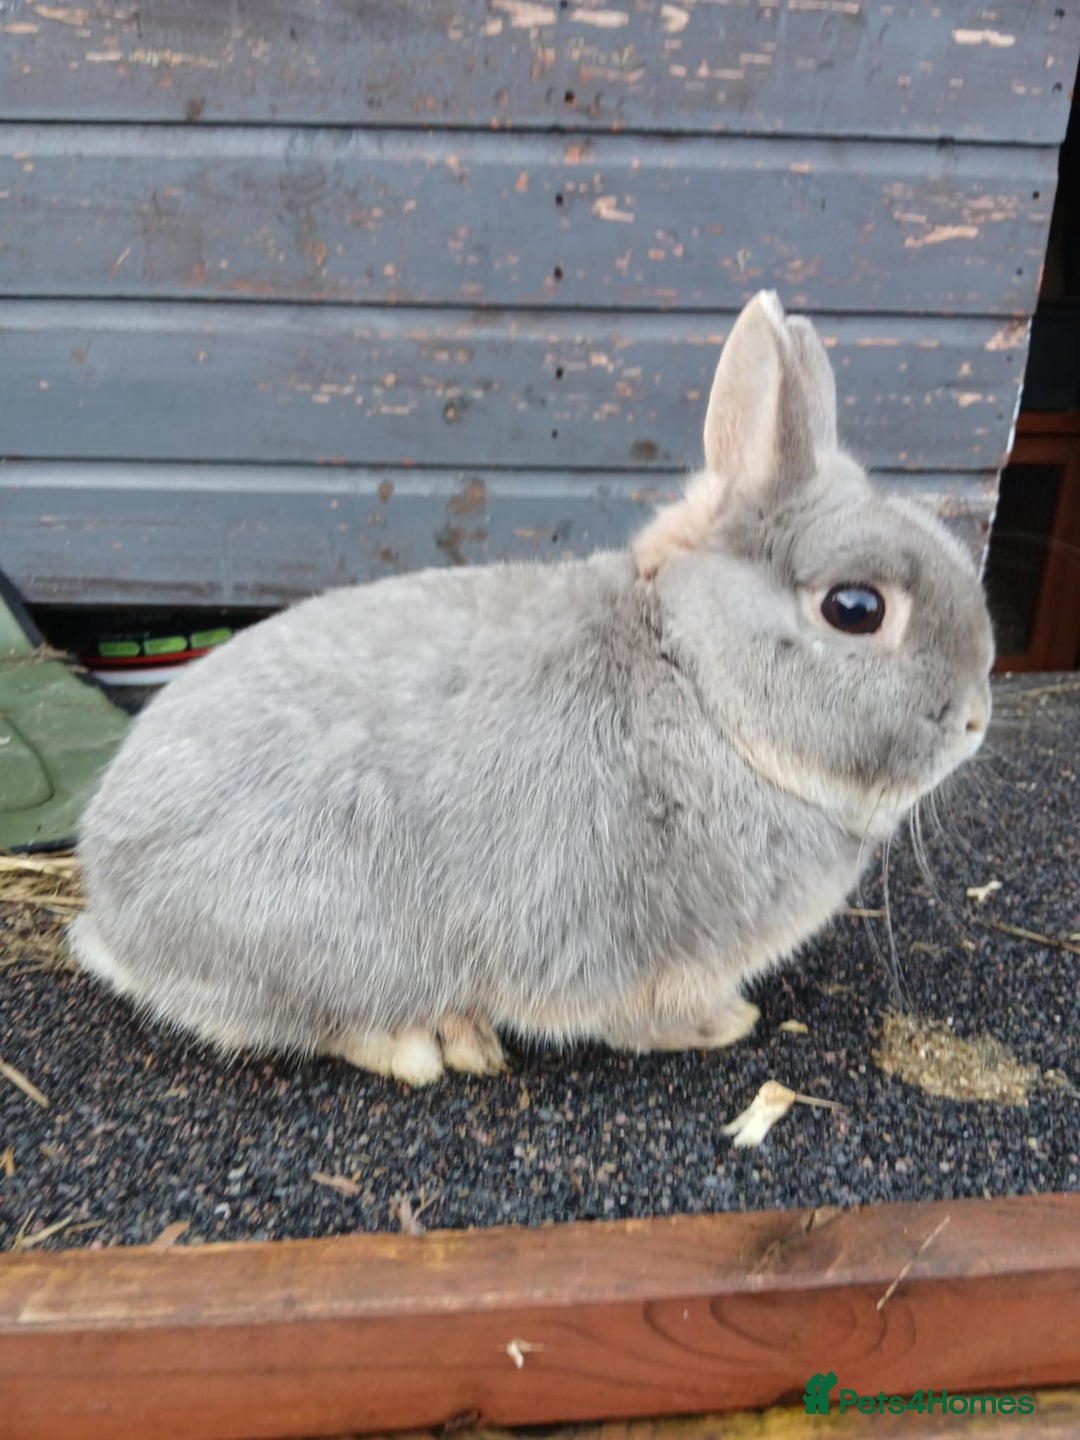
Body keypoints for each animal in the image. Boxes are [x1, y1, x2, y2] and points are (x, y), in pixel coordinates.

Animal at [70, 291, 994, 1085]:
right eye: (856, 608)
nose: (978, 718)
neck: (697, 683)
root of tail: (108, 907)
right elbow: (634, 1017)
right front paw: (724, 1023)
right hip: (333, 932)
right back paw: (434, 1045)